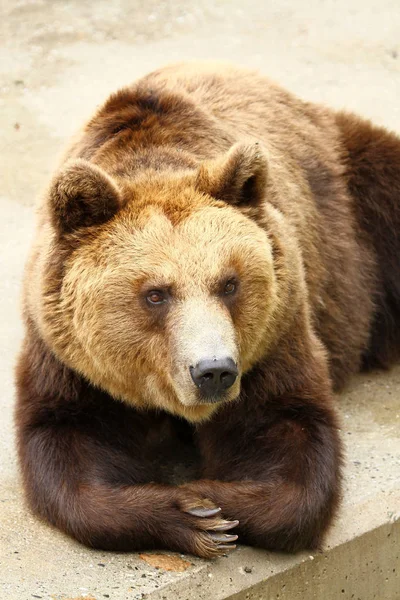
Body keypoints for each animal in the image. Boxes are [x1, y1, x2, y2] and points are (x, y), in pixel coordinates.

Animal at [14, 61, 400, 556]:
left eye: (229, 283)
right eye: (156, 293)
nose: (213, 371)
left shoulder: (274, 338)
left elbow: (287, 435)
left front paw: (215, 500)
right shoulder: (71, 361)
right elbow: (69, 450)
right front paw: (191, 514)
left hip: (357, 200)